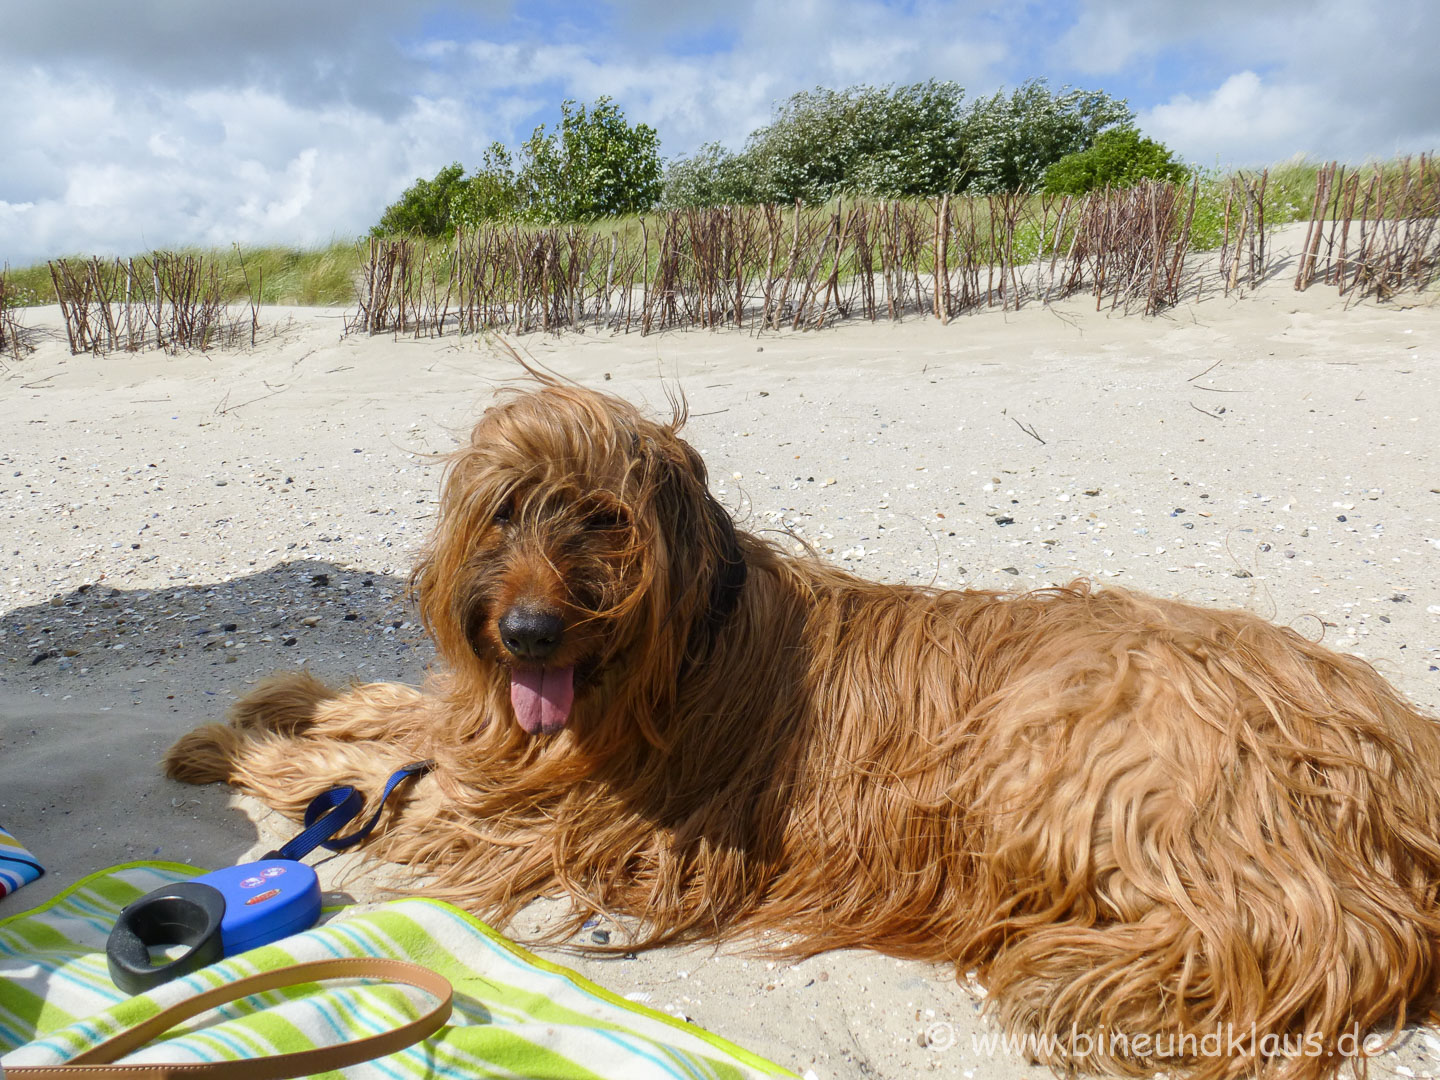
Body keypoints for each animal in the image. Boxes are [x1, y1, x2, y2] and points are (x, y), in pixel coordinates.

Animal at [165, 377, 1440, 1079]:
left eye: (603, 520)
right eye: (506, 512)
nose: (526, 632)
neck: (684, 643)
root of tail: (1390, 743)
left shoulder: (538, 810)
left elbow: (372, 781)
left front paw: (251, 751)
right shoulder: (490, 735)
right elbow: (400, 713)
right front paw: (273, 707)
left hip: (1083, 760)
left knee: (1313, 937)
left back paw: (1089, 976)